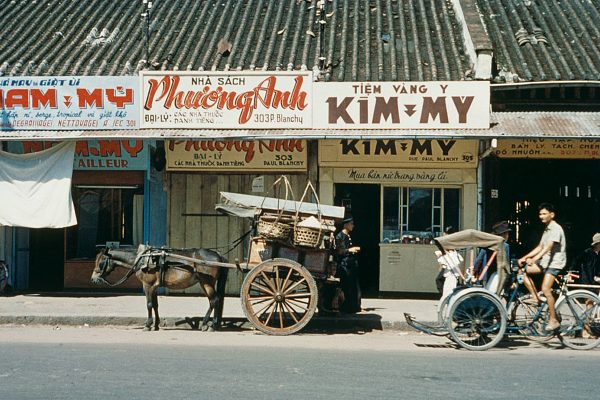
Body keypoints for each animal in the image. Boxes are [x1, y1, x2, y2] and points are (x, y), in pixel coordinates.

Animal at [91, 245, 227, 332]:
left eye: (101, 262)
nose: (93, 279)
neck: (142, 258)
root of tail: (219, 255)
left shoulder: (147, 285)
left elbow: (149, 304)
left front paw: (148, 325)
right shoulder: (154, 287)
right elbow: (155, 305)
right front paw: (156, 325)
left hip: (206, 282)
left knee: (214, 301)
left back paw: (208, 325)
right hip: (204, 283)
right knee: (215, 301)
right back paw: (212, 324)